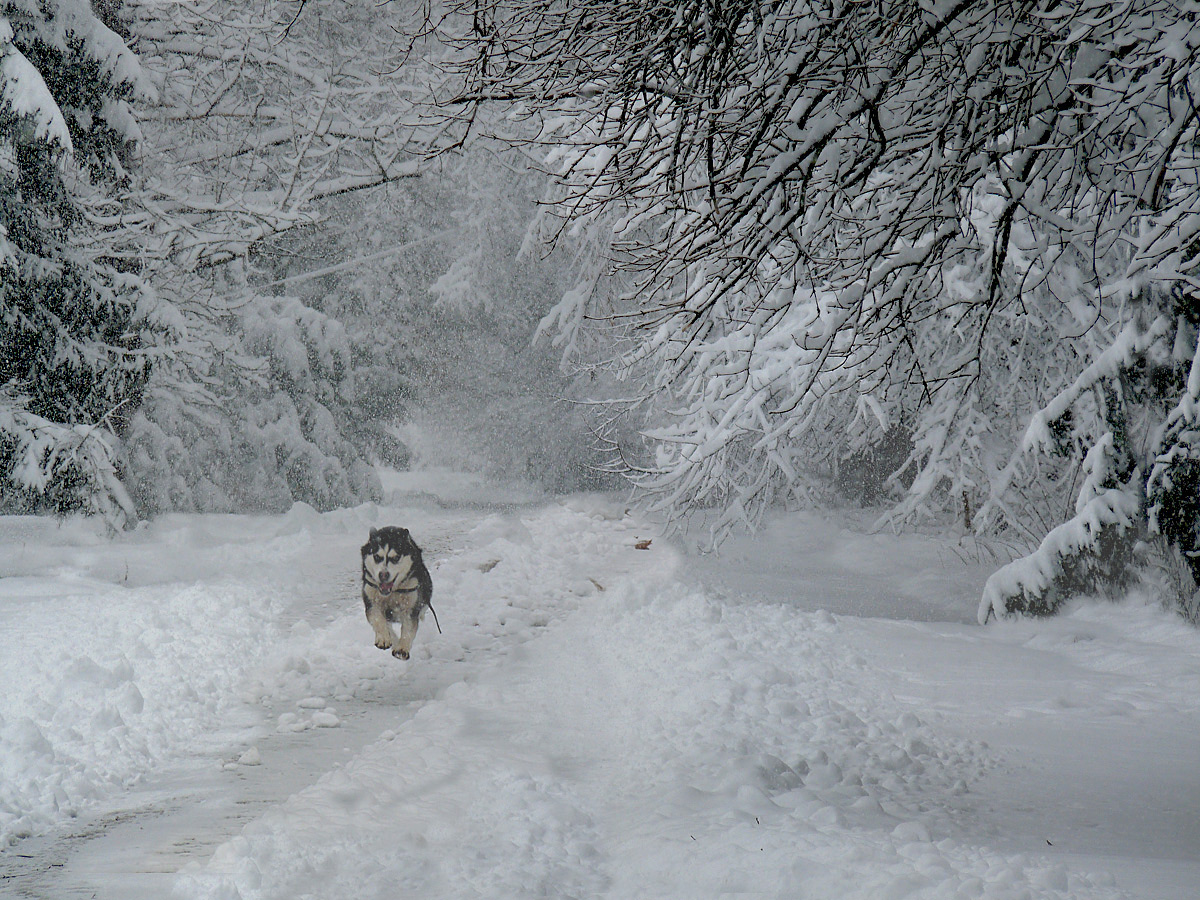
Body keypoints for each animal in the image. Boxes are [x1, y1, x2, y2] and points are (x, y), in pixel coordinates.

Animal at [360, 528, 436, 662]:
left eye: (395, 558)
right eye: (377, 557)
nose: (383, 575)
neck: (393, 592)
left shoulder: (411, 607)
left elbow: (408, 629)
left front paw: (402, 648)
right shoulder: (371, 602)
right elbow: (379, 620)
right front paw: (384, 638)